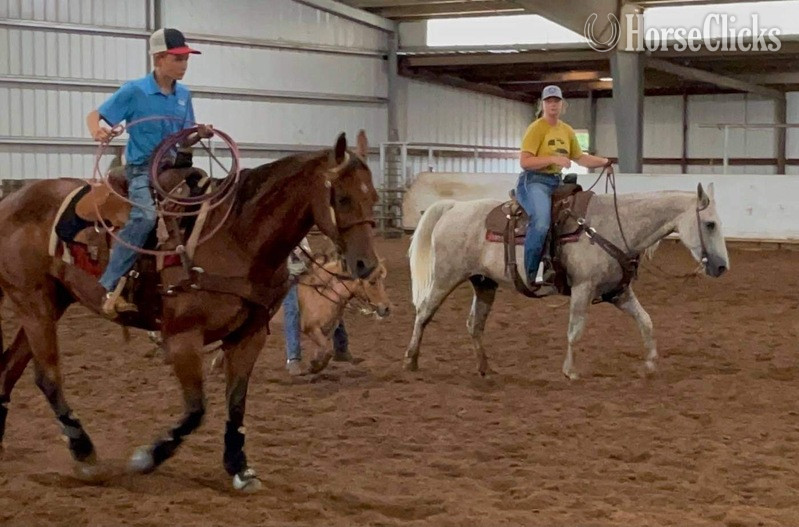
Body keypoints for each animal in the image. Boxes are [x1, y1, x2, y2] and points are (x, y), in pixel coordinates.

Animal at [0, 130, 379, 492]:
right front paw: (147, 458)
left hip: (52, 301)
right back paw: (85, 453)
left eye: (373, 197)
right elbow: (196, 410)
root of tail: (12, 201)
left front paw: (240, 468)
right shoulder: (183, 337)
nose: (366, 264)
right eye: (342, 198)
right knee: (47, 378)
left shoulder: (249, 336)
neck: (238, 238)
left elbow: (236, 403)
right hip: (34, 304)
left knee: (9, 369)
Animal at [404, 183, 729, 380]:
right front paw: (570, 371)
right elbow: (575, 331)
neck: (613, 227)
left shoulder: (618, 293)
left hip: (483, 282)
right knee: (423, 313)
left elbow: (646, 321)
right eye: (710, 224)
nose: (722, 266)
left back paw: (484, 367)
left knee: (475, 324)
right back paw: (411, 361)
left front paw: (650, 364)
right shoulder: (583, 289)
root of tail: (454, 207)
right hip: (446, 277)